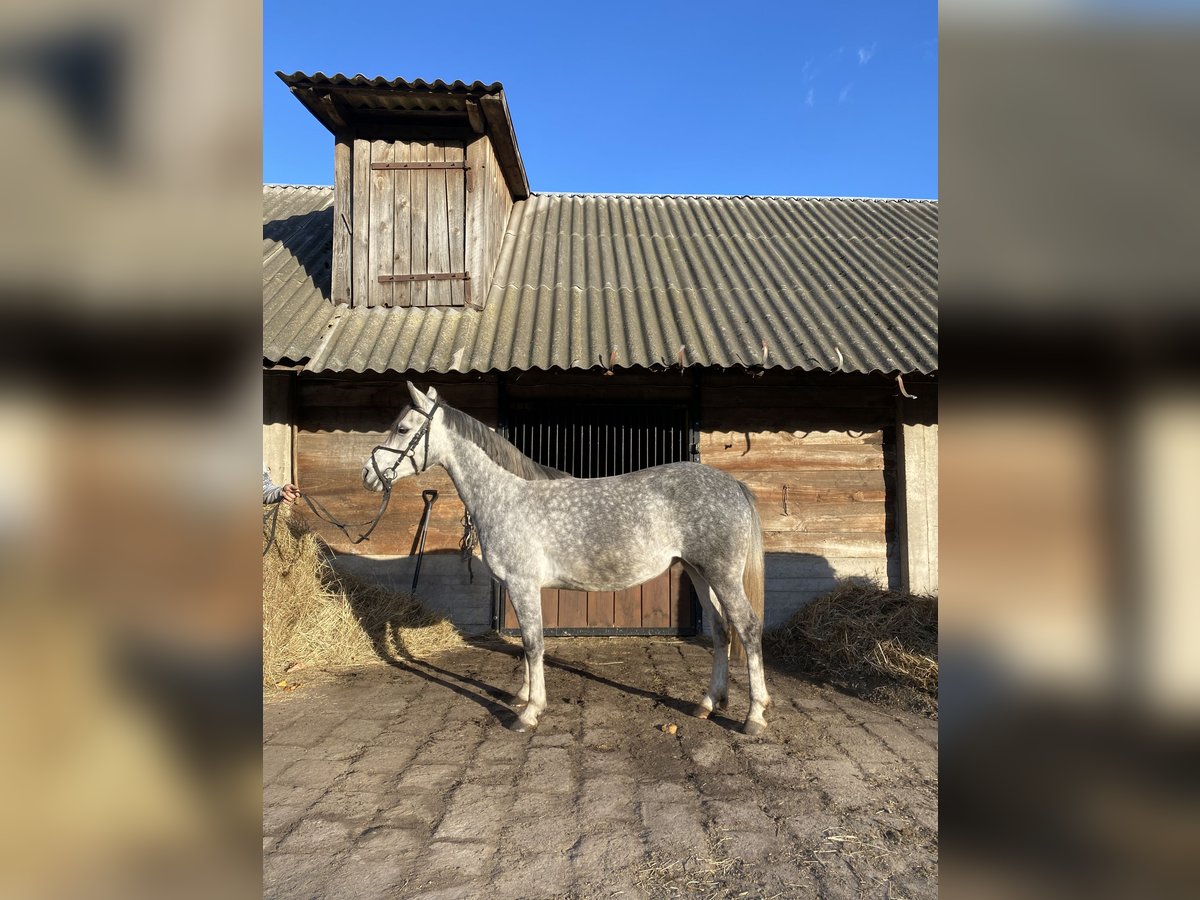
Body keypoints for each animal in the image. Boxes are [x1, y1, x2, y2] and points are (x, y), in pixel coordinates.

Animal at [360, 384, 772, 734]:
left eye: (402, 428)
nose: (369, 474)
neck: (506, 496)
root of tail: (732, 484)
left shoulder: (523, 584)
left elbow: (533, 644)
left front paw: (529, 712)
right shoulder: (518, 587)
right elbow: (527, 644)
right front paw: (522, 696)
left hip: (722, 575)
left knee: (747, 628)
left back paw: (753, 716)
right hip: (699, 572)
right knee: (721, 630)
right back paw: (707, 703)